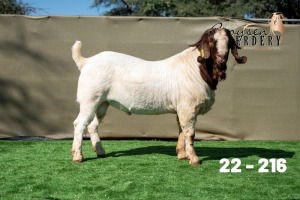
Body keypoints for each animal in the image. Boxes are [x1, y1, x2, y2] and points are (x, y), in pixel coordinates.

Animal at [71, 27, 247, 166]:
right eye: (211, 41)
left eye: (229, 42)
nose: (222, 61)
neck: (196, 68)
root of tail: (86, 62)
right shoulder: (188, 108)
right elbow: (190, 133)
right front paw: (194, 159)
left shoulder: (181, 109)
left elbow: (181, 131)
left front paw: (182, 155)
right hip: (89, 99)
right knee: (79, 124)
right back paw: (78, 156)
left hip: (102, 103)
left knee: (92, 125)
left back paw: (100, 151)